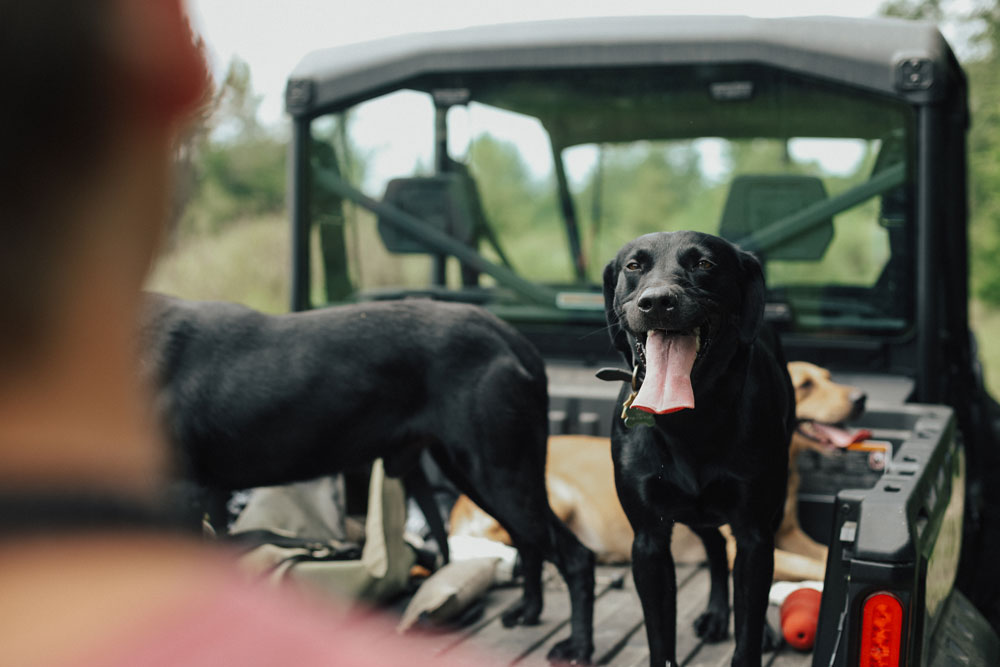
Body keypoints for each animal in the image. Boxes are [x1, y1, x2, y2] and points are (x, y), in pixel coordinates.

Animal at [140, 294, 592, 664]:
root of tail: (512, 338)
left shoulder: (181, 494)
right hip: (478, 472)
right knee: (530, 543)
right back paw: (528, 612)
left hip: (497, 471)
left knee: (574, 557)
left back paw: (578, 647)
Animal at [454, 362, 868, 580]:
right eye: (806, 385)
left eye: (829, 377)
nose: (861, 398)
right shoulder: (748, 544)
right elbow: (812, 565)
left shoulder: (789, 534)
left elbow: (822, 552)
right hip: (556, 497)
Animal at [604, 231, 792, 667]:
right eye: (633, 266)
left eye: (704, 264)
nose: (657, 302)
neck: (689, 419)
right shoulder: (649, 541)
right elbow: (660, 636)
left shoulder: (755, 533)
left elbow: (748, 632)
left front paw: (754, 633)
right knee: (717, 548)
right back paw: (716, 613)